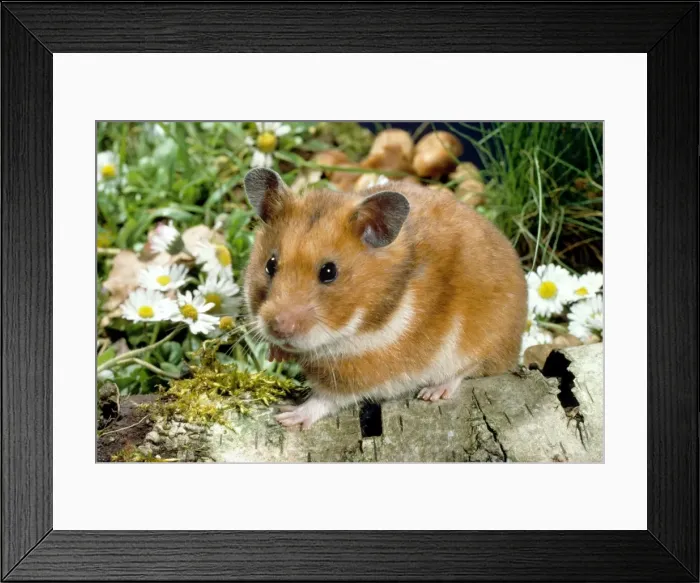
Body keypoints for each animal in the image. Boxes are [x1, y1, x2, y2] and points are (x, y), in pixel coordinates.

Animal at [243, 167, 527, 429]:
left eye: (329, 272)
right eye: (270, 264)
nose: (279, 329)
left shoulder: (362, 372)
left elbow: (326, 399)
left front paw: (287, 417)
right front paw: (276, 354)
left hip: (482, 341)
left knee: (469, 369)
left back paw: (432, 393)